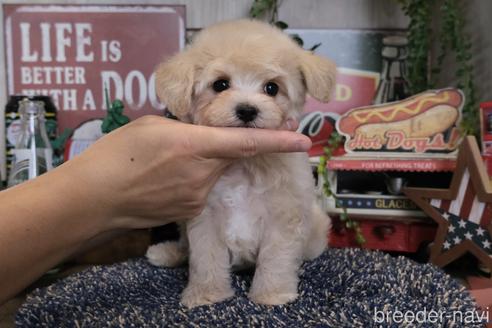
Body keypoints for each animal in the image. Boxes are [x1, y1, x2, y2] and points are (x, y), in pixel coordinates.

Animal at [146, 19, 336, 308]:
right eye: (220, 84)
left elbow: (275, 258)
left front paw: (271, 294)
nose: (247, 110)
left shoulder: (283, 216)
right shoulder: (205, 217)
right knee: (185, 246)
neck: (244, 165)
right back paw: (168, 252)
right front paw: (206, 294)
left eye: (272, 88)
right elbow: (206, 259)